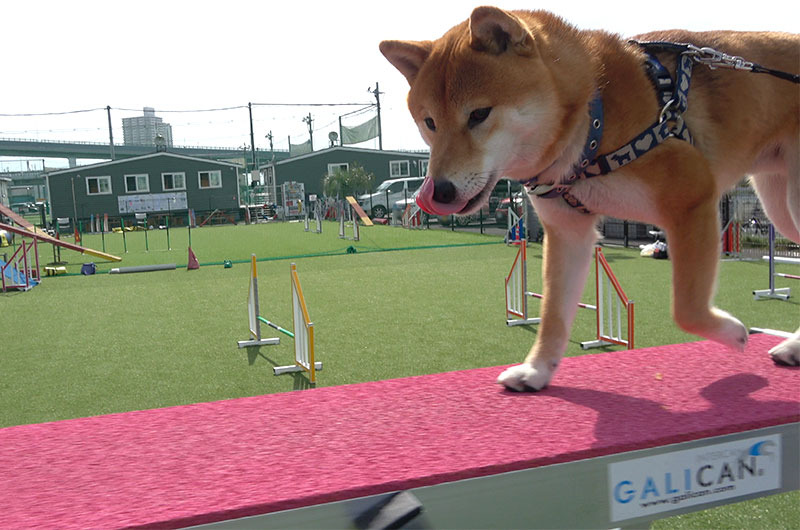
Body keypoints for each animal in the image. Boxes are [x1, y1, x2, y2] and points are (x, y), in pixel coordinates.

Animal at [382, 6, 800, 390]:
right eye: (429, 123)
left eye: (479, 114)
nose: (439, 191)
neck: (591, 120)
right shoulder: (568, 232)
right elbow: (553, 313)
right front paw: (536, 370)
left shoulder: (693, 196)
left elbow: (686, 308)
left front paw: (733, 332)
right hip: (778, 203)